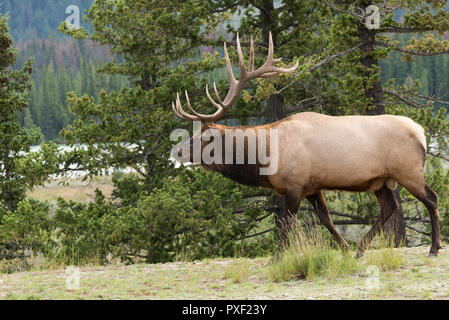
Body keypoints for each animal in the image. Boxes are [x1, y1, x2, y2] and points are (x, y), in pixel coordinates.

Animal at [171, 33, 440, 258]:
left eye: (202, 138)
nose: (176, 151)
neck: (266, 157)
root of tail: (422, 132)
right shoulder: (312, 186)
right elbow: (325, 219)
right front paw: (344, 247)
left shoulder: (295, 184)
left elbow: (286, 223)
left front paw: (277, 257)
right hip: (381, 180)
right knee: (390, 206)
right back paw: (360, 248)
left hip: (408, 171)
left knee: (431, 198)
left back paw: (434, 248)